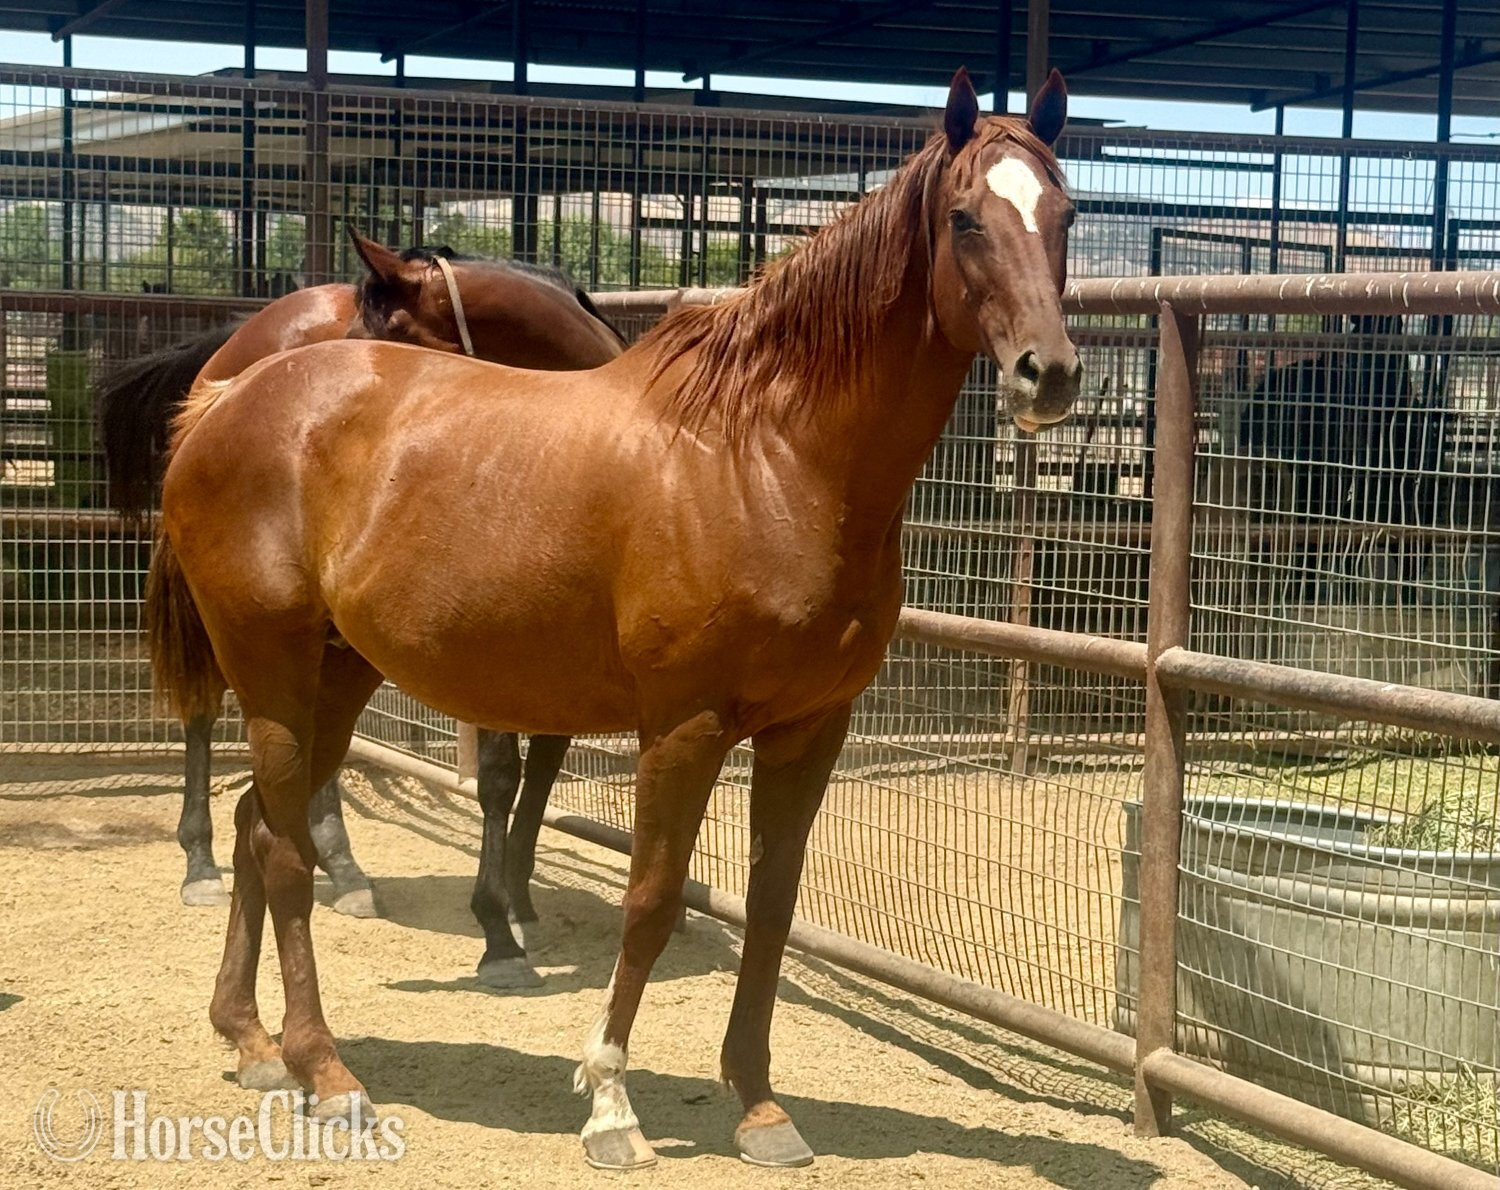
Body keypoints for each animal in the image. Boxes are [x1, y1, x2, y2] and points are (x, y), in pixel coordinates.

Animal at [98, 228, 623, 987]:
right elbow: (499, 776)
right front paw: (498, 931)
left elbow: (545, 768)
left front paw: (520, 902)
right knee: (203, 709)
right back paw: (202, 864)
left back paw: (340, 868)